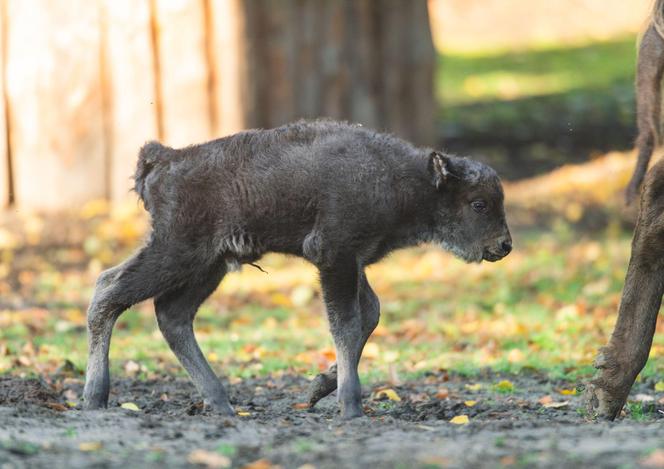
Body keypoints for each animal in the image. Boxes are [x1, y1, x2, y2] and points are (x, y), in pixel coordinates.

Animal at [80, 119, 510, 416]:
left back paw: (220, 403)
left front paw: (319, 388)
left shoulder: (354, 263)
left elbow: (369, 315)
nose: (504, 246)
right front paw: (349, 405)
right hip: (178, 253)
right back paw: (95, 397)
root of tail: (166, 159)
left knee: (172, 315)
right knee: (109, 289)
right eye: (478, 204)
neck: (403, 177)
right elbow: (346, 323)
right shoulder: (334, 257)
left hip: (209, 266)